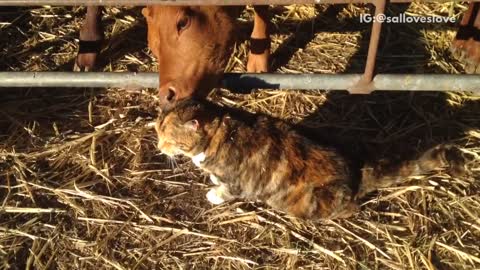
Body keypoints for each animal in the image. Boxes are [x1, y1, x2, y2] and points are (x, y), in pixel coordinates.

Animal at [157, 99, 472, 219]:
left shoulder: (237, 180)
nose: (159, 147)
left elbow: (228, 190)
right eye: (157, 132)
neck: (220, 133)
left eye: (168, 139)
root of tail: (358, 171)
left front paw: (215, 193)